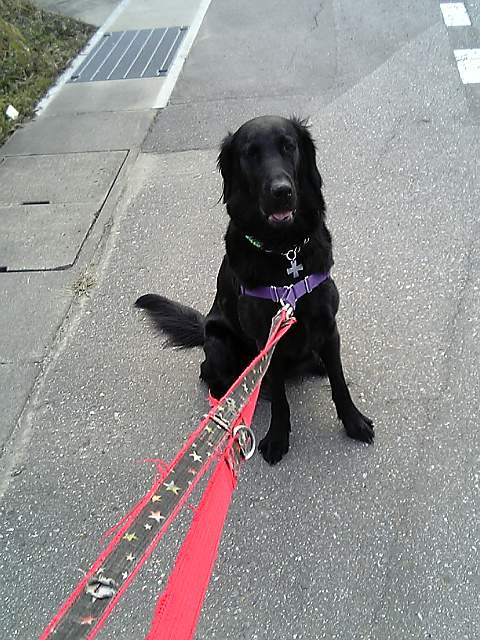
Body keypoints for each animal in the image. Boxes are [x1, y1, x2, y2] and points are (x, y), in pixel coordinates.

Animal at [136, 115, 374, 464]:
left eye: (288, 146)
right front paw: (277, 437)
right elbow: (281, 401)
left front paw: (353, 422)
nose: (281, 192)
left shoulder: (329, 326)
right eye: (250, 154)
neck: (286, 253)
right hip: (219, 341)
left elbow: (339, 383)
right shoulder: (266, 341)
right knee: (212, 375)